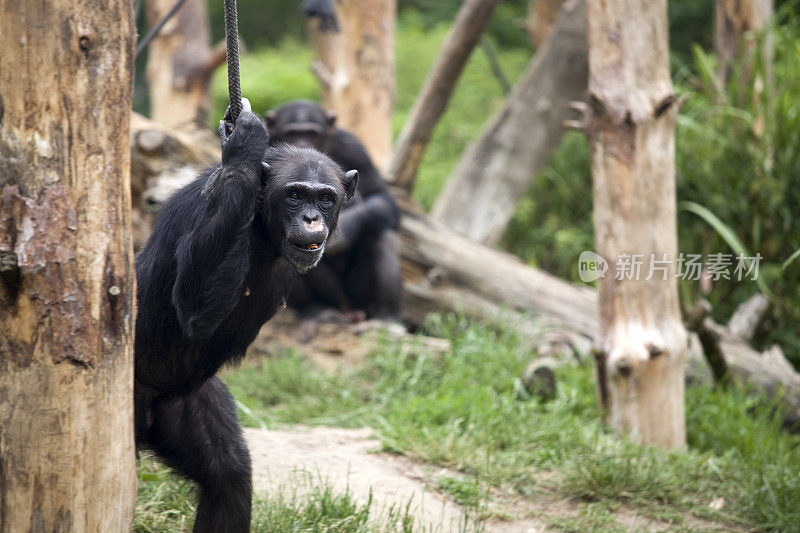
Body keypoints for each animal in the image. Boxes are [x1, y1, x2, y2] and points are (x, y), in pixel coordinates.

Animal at [134, 101, 356, 532]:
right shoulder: (201, 208)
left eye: (325, 198)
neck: (264, 232)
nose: (310, 218)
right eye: (294, 195)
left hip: (180, 402)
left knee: (228, 474)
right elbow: (194, 305)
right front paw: (244, 146)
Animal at [266, 101, 404, 322]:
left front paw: (346, 228)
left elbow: (380, 195)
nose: (303, 143)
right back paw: (316, 309)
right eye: (292, 133)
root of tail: (350, 311)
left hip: (358, 295)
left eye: (312, 133)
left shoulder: (352, 146)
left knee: (381, 232)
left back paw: (387, 316)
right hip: (336, 298)